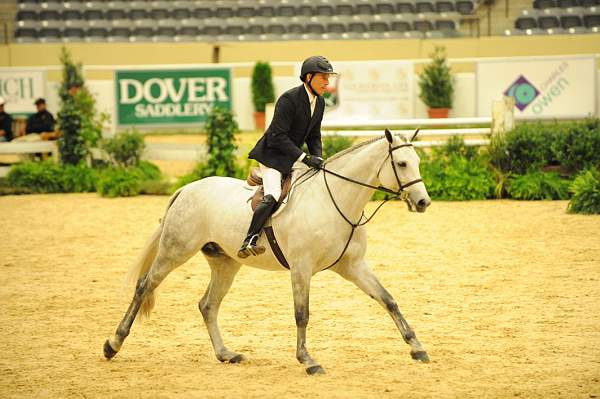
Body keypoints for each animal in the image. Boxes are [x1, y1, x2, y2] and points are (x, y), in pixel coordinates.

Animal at [103, 130, 432, 376]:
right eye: (402, 163)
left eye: (417, 161)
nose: (423, 202)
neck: (335, 200)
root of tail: (186, 189)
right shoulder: (301, 268)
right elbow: (302, 314)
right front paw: (308, 361)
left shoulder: (353, 266)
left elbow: (388, 300)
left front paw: (416, 347)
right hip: (175, 250)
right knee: (145, 286)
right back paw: (113, 344)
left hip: (225, 263)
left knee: (208, 305)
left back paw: (226, 354)